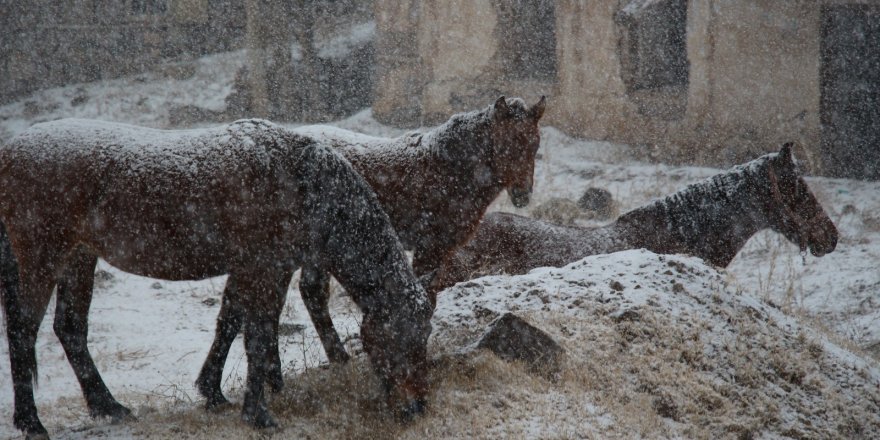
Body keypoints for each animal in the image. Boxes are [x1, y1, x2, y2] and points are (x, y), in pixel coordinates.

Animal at [0, 117, 434, 436]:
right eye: (406, 337)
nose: (416, 407)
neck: (299, 181)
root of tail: (9, 152)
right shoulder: (264, 269)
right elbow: (258, 338)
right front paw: (259, 414)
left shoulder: (253, 269)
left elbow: (229, 323)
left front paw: (214, 393)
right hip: (42, 258)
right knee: (23, 331)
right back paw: (32, 423)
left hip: (79, 259)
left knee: (70, 328)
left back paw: (109, 406)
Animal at [196, 96, 548, 410]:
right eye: (504, 142)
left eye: (534, 145)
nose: (522, 194)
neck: (450, 169)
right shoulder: (429, 245)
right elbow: (428, 298)